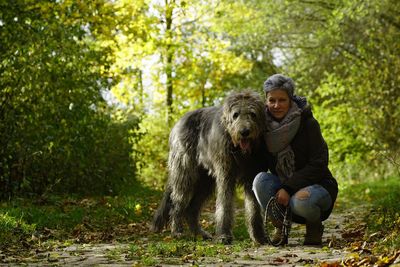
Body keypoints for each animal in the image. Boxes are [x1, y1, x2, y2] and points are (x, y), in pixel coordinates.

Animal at [152, 90, 268, 245]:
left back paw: (199, 233)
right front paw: (223, 235)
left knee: (191, 209)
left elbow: (254, 208)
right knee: (177, 203)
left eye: (253, 114)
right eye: (235, 115)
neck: (238, 149)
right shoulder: (225, 175)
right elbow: (224, 205)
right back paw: (177, 231)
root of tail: (178, 123)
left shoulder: (251, 175)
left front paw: (258, 236)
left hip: (205, 181)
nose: (244, 132)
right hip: (184, 173)